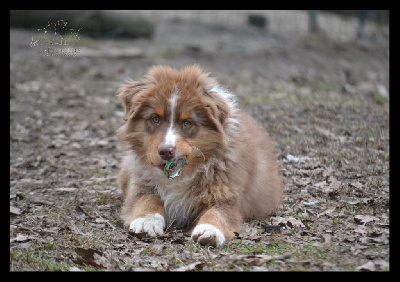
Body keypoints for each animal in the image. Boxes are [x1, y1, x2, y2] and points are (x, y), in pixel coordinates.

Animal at [117, 64, 282, 247]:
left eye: (187, 122)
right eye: (155, 119)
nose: (166, 151)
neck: (181, 175)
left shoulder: (227, 196)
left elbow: (217, 213)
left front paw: (209, 231)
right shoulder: (140, 184)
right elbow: (147, 198)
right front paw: (147, 220)